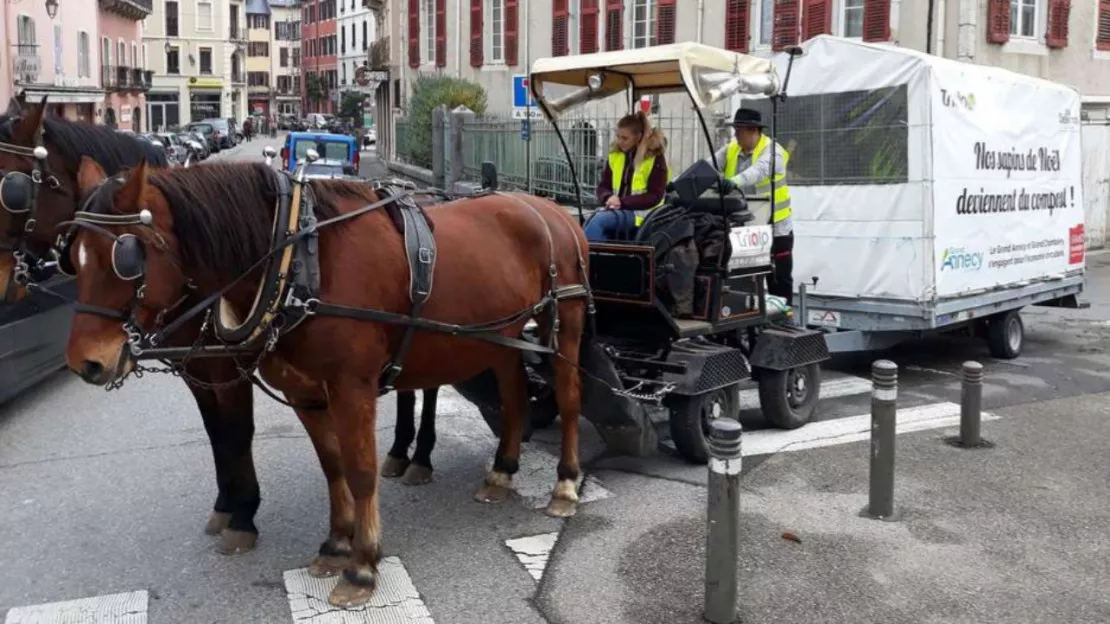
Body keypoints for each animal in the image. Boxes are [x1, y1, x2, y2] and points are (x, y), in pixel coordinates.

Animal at [0, 98, 441, 552]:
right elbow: (217, 432)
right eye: (75, 255)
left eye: (10, 187)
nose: (84, 362)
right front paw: (227, 504)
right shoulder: (196, 370)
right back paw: (400, 451)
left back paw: (420, 455)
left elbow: (238, 431)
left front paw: (243, 514)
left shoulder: (229, 368)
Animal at [66, 157, 590, 604]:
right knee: (516, 395)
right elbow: (332, 465)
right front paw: (337, 543)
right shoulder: (305, 393)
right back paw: (502, 470)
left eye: (125, 257)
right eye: (73, 255)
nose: (85, 363)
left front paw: (362, 565)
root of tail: (550, 208)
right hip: (503, 336)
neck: (299, 262)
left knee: (568, 398)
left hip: (564, 321)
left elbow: (359, 471)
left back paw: (565, 486)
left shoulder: (351, 388)